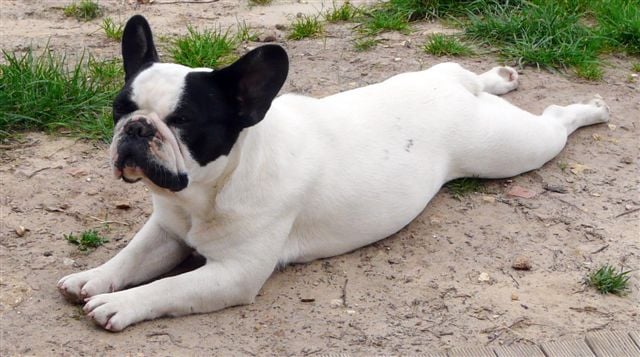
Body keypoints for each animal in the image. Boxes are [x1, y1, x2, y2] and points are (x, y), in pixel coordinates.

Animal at [58, 15, 608, 330]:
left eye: (183, 122)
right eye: (120, 108)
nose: (137, 128)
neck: (205, 192)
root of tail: (453, 92)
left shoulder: (232, 274)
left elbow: (167, 288)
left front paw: (120, 304)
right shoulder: (165, 229)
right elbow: (130, 256)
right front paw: (94, 278)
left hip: (511, 149)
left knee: (554, 121)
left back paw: (591, 110)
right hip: (454, 84)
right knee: (468, 73)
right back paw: (497, 76)